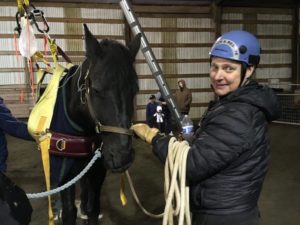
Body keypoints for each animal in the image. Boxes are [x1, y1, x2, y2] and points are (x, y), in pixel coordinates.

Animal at [48, 23, 141, 224]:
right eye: (97, 89)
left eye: (134, 90)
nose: (122, 157)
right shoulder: (65, 171)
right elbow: (69, 211)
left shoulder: (98, 167)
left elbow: (93, 207)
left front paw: (87, 209)